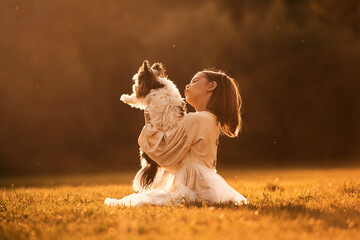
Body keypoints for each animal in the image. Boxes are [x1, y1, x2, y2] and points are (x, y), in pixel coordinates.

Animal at [122, 61, 187, 192]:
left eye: (137, 80)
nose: (134, 85)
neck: (156, 82)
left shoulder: (143, 97)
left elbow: (136, 99)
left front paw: (125, 97)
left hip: (143, 150)